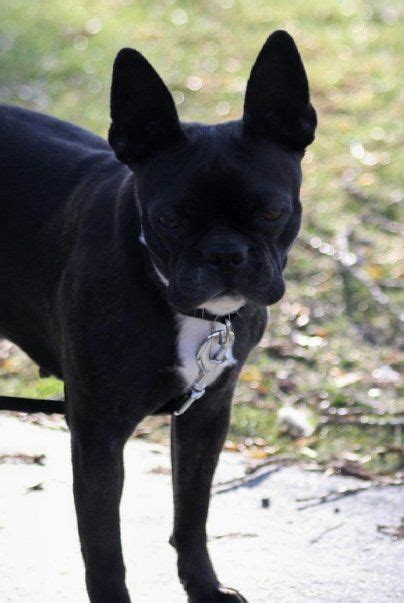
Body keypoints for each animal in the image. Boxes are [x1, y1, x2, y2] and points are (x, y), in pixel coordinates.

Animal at [0, 31, 316, 603]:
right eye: (169, 219)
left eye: (272, 212)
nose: (224, 254)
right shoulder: (98, 435)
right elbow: (104, 548)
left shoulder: (205, 416)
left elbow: (191, 512)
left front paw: (204, 587)